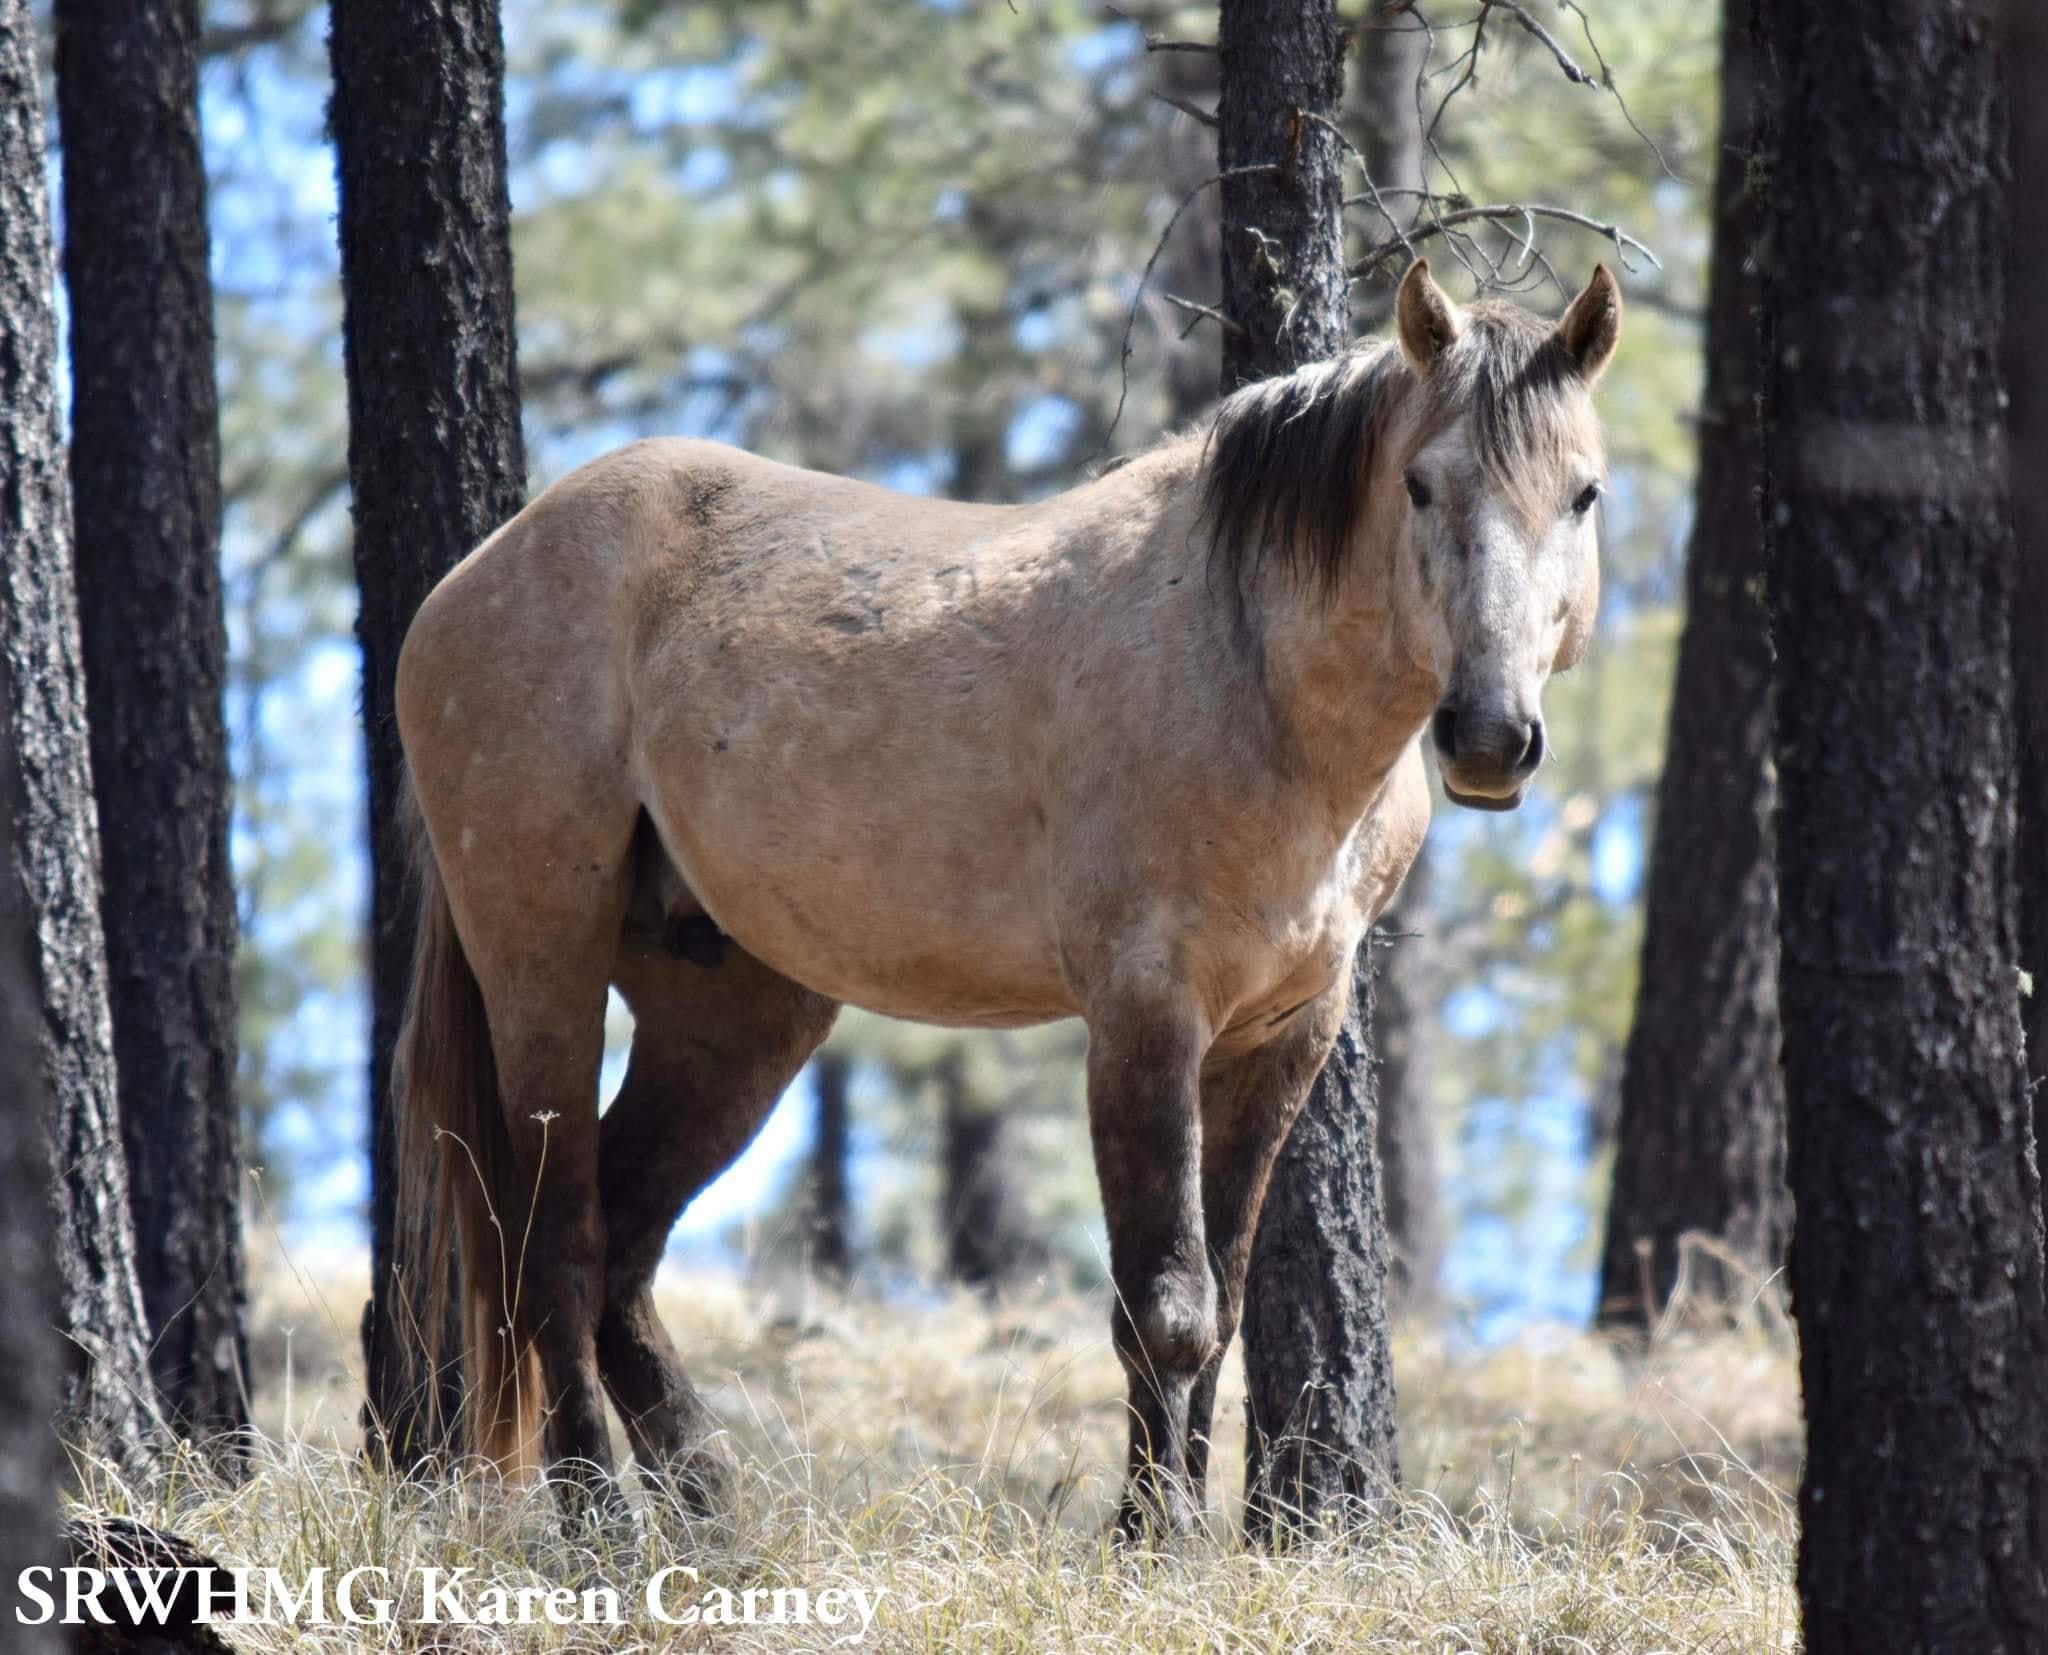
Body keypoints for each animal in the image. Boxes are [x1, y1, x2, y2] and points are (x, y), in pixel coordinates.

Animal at [390, 257, 1621, 1535]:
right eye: (1420, 485)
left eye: (1582, 494)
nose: (1489, 737)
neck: (1250, 676)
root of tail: (471, 579)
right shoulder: (1143, 1008)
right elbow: (1164, 1304)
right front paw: (1153, 1539)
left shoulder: (1284, 1030)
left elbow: (1220, 1306)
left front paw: (1177, 1527)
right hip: (542, 953)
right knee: (557, 1238)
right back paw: (605, 1525)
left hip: (733, 1009)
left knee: (625, 1246)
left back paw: (715, 1517)